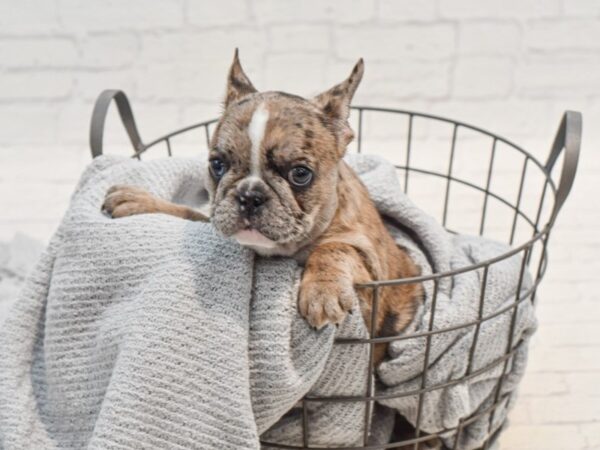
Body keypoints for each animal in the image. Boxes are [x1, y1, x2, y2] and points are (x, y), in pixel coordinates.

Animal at [102, 51, 422, 364]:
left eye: (300, 174)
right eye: (217, 165)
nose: (249, 195)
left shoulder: (371, 267)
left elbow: (335, 247)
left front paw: (323, 291)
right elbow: (192, 214)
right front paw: (140, 201)